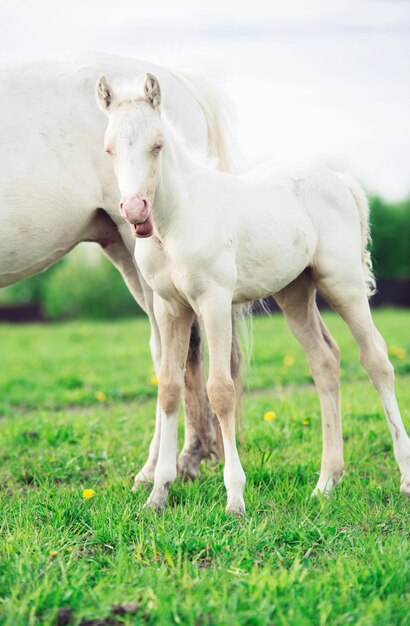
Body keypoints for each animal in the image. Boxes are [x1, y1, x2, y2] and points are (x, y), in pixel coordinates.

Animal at [0, 52, 243, 482]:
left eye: (158, 145)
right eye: (108, 149)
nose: (135, 208)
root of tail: (181, 80)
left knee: (174, 353)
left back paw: (165, 464)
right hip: (125, 249)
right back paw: (186, 458)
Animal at [97, 72, 410, 512]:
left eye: (157, 145)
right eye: (109, 149)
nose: (135, 210)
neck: (176, 221)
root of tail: (340, 180)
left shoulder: (213, 301)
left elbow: (221, 391)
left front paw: (234, 498)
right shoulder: (170, 307)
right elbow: (171, 389)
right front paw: (158, 494)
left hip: (342, 283)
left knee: (377, 360)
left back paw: (404, 477)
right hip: (295, 293)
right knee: (325, 361)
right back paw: (326, 482)